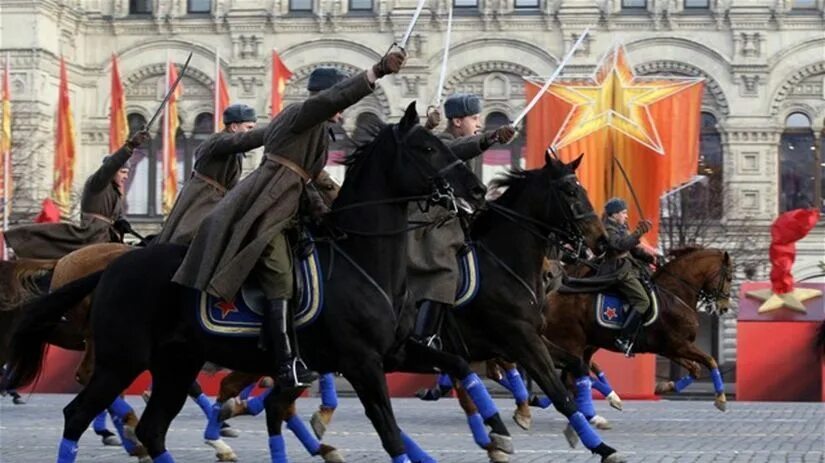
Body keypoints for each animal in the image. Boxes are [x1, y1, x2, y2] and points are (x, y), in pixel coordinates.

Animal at [6, 104, 508, 463]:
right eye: (427, 149)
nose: (477, 192)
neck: (362, 258)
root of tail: (112, 267)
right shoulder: (362, 361)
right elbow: (389, 432)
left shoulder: (394, 352)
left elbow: (456, 365)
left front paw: (497, 431)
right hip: (122, 361)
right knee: (78, 413)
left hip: (176, 364)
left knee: (154, 428)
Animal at [544, 248, 732, 434]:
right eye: (729, 277)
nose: (724, 307)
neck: (674, 295)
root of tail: (550, 297)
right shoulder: (679, 345)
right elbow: (710, 360)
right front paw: (721, 399)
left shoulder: (670, 349)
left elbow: (696, 369)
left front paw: (664, 387)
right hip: (573, 344)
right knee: (571, 378)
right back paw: (593, 414)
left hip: (582, 346)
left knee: (573, 376)